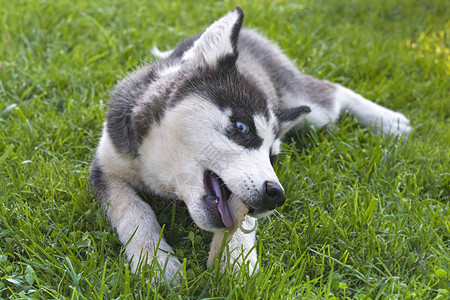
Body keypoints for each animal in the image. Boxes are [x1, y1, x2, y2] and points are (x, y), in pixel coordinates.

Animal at [88, 7, 412, 284]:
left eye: (273, 156)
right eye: (242, 128)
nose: (277, 196)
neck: (161, 173)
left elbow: (242, 221)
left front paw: (235, 262)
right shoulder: (105, 166)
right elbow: (133, 209)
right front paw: (155, 261)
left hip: (309, 107)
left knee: (332, 91)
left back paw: (390, 121)